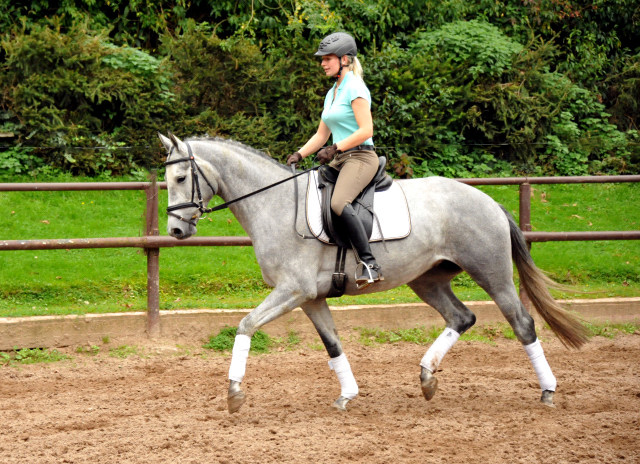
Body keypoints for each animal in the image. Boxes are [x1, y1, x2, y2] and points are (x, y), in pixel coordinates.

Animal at [158, 132, 588, 412]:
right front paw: (347, 395)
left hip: (492, 274)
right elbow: (332, 345)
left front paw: (233, 392)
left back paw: (548, 391)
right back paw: (427, 377)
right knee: (461, 317)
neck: (274, 203)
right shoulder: (310, 298)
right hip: (427, 280)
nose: (176, 231)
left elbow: (245, 325)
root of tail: (488, 200)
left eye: (180, 178)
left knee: (522, 323)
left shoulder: (292, 290)